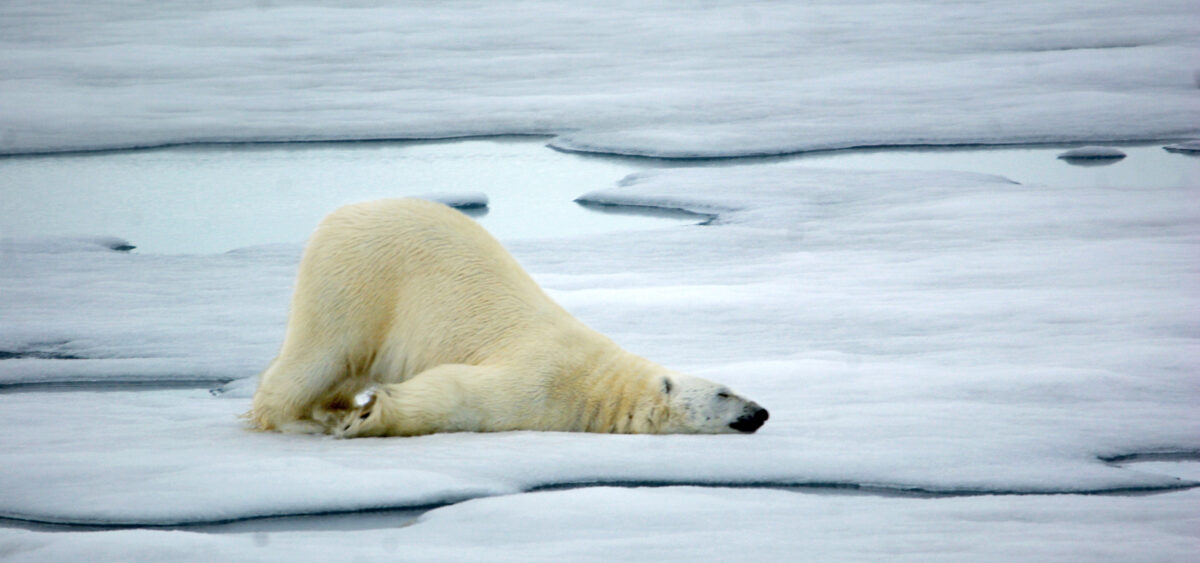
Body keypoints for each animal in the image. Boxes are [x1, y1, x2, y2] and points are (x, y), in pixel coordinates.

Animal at [249, 199, 768, 436]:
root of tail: (343, 213)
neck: (600, 386)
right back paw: (297, 420)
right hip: (359, 281)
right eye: (725, 392)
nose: (761, 412)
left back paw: (331, 409)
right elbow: (459, 392)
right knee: (321, 353)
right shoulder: (542, 377)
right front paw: (369, 415)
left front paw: (361, 413)